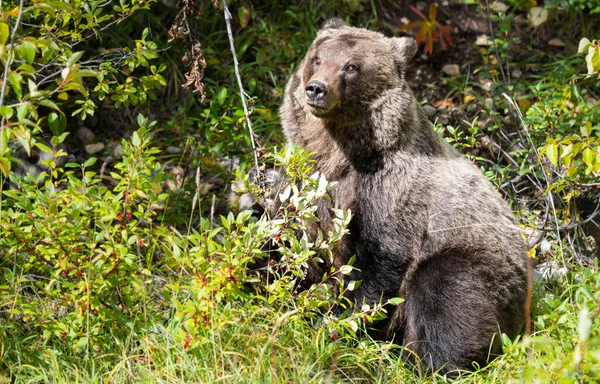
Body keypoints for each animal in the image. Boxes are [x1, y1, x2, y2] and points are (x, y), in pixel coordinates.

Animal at [278, 19, 528, 376]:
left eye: (351, 66)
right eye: (317, 58)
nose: (316, 88)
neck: (341, 155)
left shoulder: (389, 192)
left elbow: (378, 265)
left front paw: (336, 322)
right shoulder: (308, 183)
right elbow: (302, 247)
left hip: (480, 261)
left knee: (446, 295)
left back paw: (436, 365)